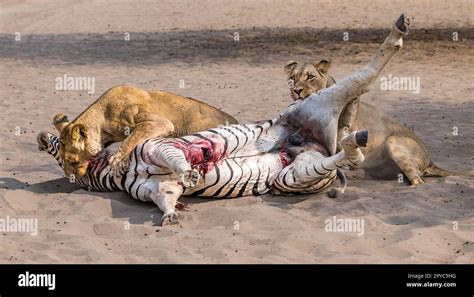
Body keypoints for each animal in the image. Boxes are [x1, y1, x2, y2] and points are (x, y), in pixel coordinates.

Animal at [286, 58, 470, 184]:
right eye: (292, 78)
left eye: (310, 76)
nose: (296, 90)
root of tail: (430, 160)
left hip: (392, 140)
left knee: (418, 181)